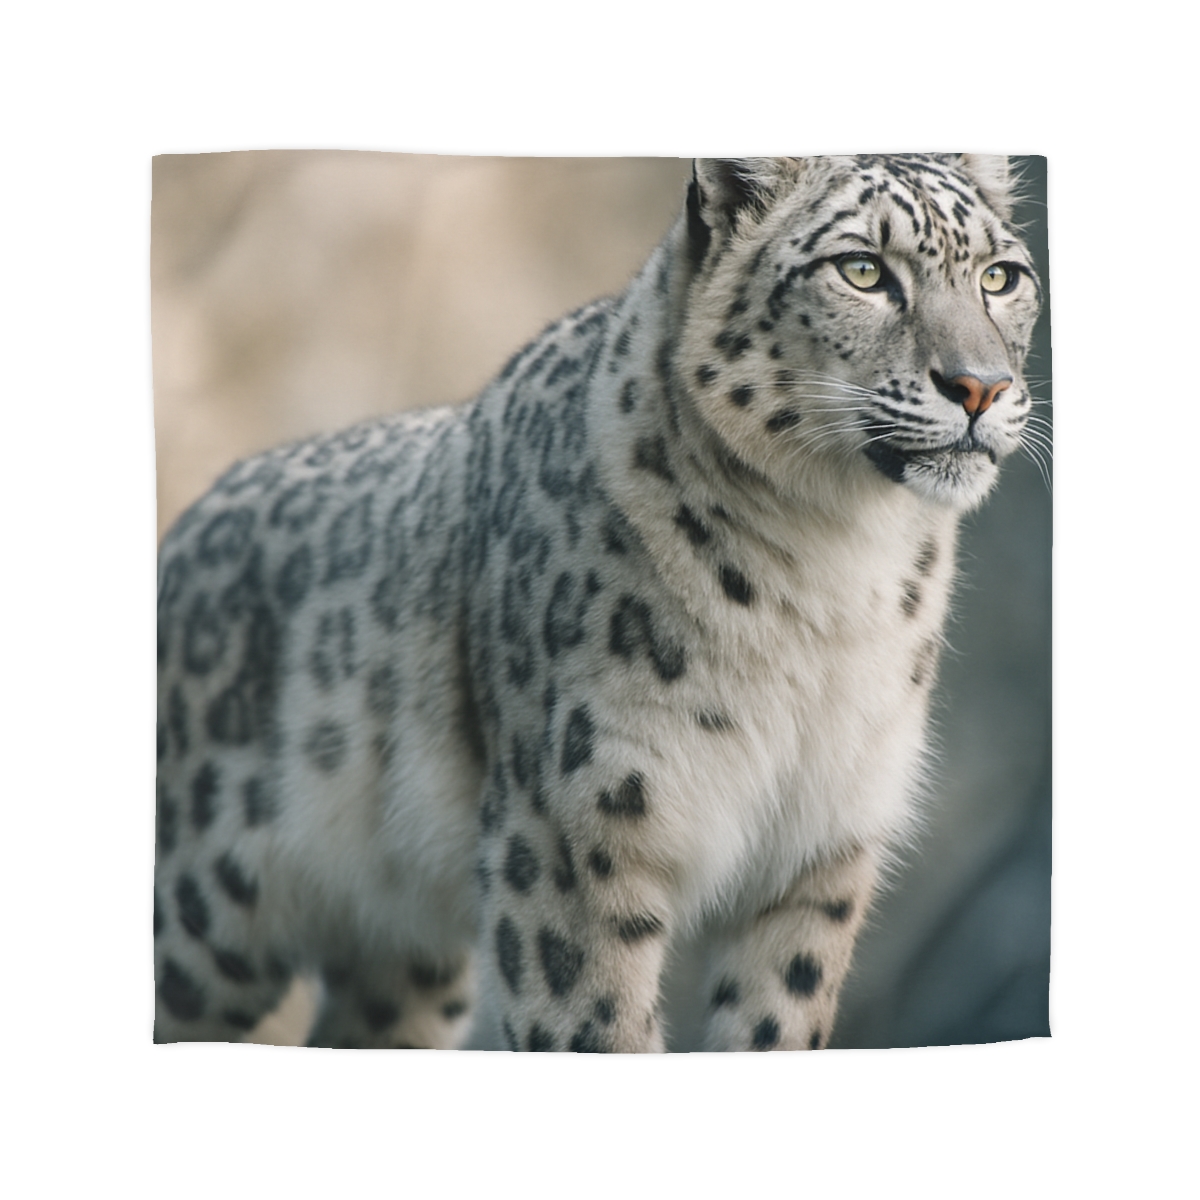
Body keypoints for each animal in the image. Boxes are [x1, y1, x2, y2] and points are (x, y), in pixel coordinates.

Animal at [154, 154, 1042, 1051]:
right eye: (862, 269)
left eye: (1001, 276)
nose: (980, 386)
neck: (837, 569)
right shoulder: (574, 839)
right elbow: (597, 1026)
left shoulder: (818, 851)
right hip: (198, 924)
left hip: (405, 971)